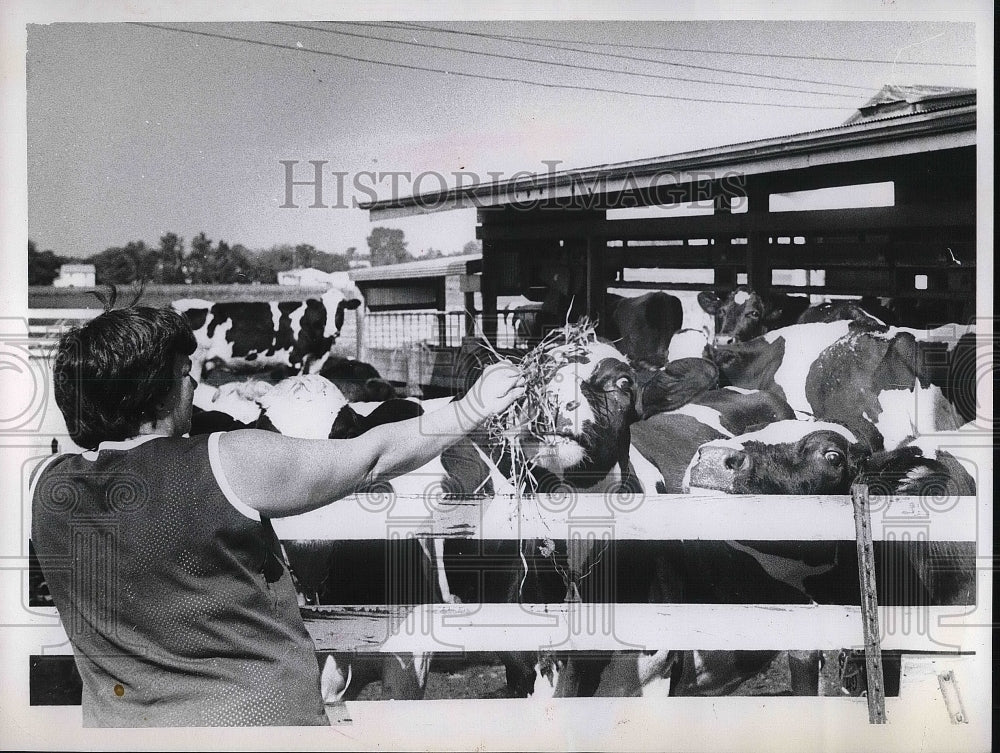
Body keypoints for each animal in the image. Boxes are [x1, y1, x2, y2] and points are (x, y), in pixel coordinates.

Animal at [171, 280, 364, 374]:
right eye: (323, 309)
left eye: (341, 309)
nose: (332, 331)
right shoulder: (294, 360)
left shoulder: (317, 361)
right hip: (195, 362)